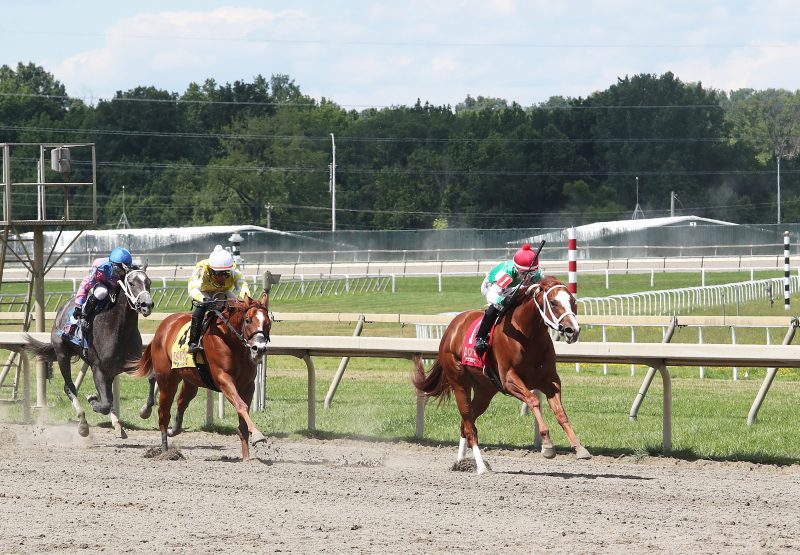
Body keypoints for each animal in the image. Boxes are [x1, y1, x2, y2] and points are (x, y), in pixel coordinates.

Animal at [26, 268, 155, 438]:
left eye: (148, 282)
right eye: (132, 283)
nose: (147, 305)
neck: (118, 329)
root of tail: (61, 310)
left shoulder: (131, 364)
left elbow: (151, 377)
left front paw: (145, 411)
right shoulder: (98, 368)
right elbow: (104, 403)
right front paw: (93, 401)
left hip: (109, 371)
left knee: (108, 394)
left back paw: (117, 425)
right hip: (62, 354)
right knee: (69, 387)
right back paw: (83, 423)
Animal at [129, 294, 272, 462]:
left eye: (268, 322)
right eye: (248, 320)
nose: (259, 349)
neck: (230, 341)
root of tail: (163, 326)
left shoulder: (248, 385)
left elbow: (243, 415)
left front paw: (246, 457)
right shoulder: (224, 380)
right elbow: (241, 405)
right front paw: (258, 435)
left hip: (191, 380)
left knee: (181, 402)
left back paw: (174, 429)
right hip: (167, 379)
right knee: (163, 411)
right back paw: (165, 450)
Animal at [416, 276, 592, 476]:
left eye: (573, 301)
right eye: (553, 302)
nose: (572, 330)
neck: (527, 336)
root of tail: (452, 327)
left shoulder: (550, 381)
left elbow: (560, 412)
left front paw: (579, 447)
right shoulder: (509, 380)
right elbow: (533, 401)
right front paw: (547, 445)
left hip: (485, 390)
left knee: (465, 423)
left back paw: (460, 462)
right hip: (459, 381)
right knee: (469, 423)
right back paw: (481, 467)